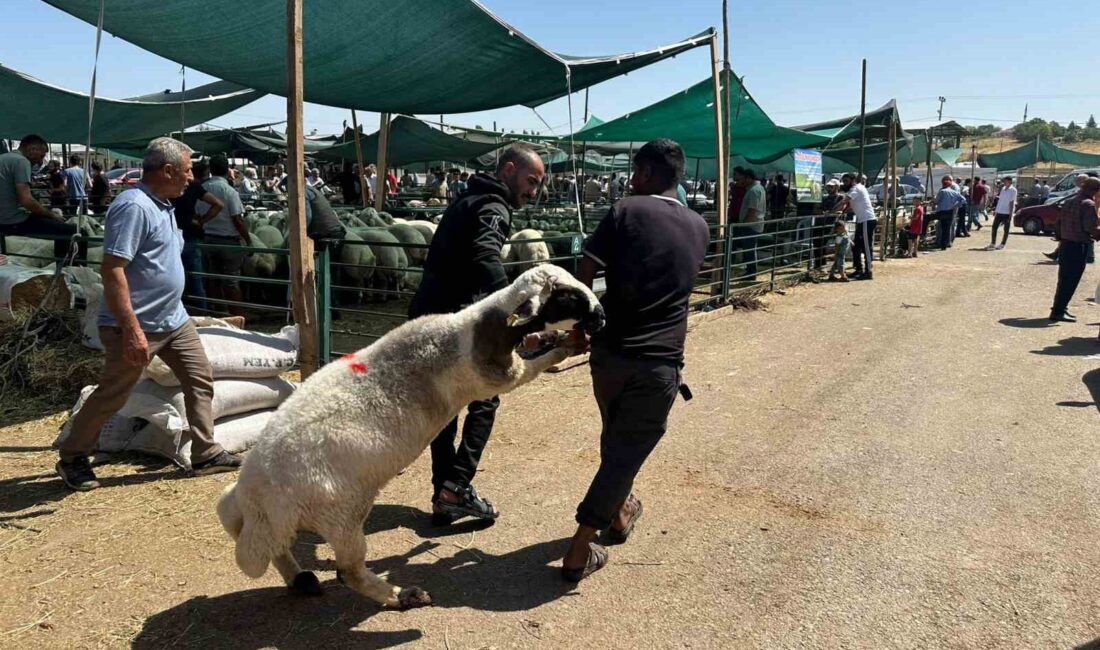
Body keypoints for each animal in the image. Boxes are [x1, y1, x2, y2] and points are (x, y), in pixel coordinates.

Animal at [215, 263, 607, 611]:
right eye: (567, 296)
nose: (601, 317)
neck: (477, 328)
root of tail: (262, 504)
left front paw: (561, 339)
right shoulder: (500, 375)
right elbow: (537, 363)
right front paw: (568, 347)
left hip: (247, 501)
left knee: (234, 518)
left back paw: (302, 579)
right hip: (341, 515)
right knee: (348, 571)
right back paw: (403, 597)